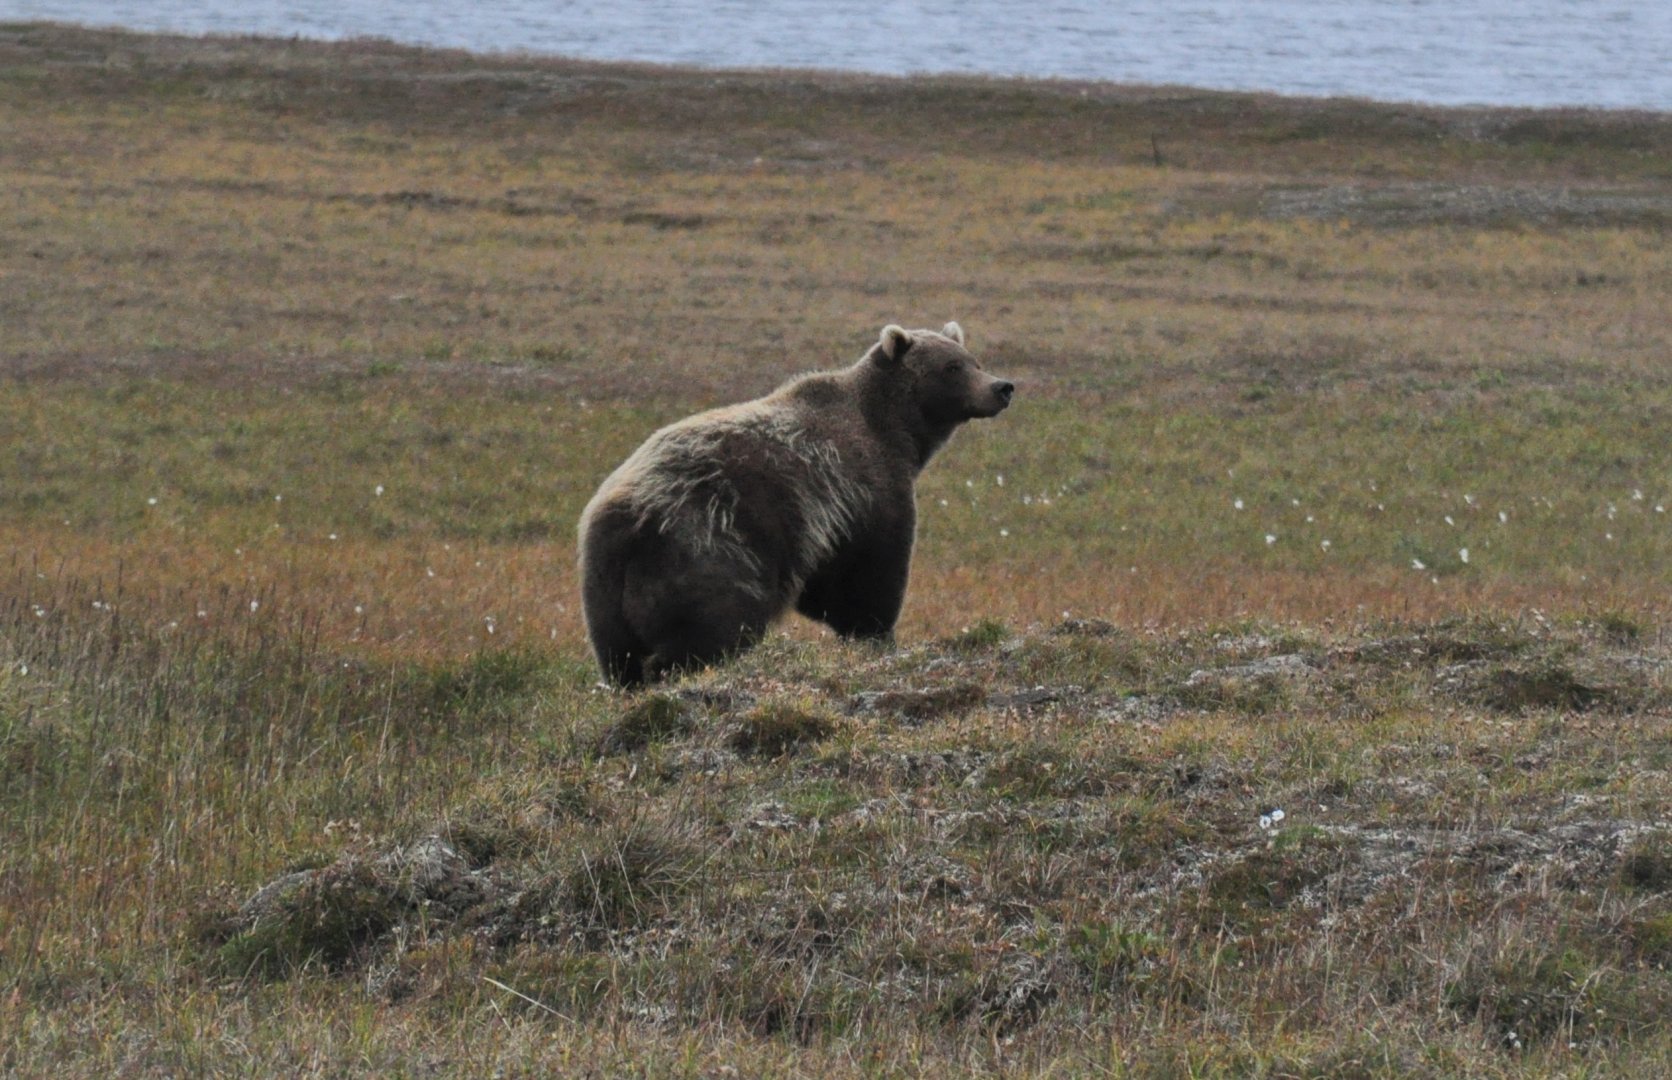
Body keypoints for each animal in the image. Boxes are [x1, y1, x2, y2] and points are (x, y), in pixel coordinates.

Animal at [577, 321, 1014, 687]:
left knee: (618, 656)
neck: (894, 431)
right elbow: (870, 576)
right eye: (952, 367)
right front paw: (878, 635)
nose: (1002, 387)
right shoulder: (865, 493)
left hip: (603, 588)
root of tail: (623, 518)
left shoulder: (826, 524)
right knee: (714, 625)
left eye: (975, 361)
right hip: (707, 545)